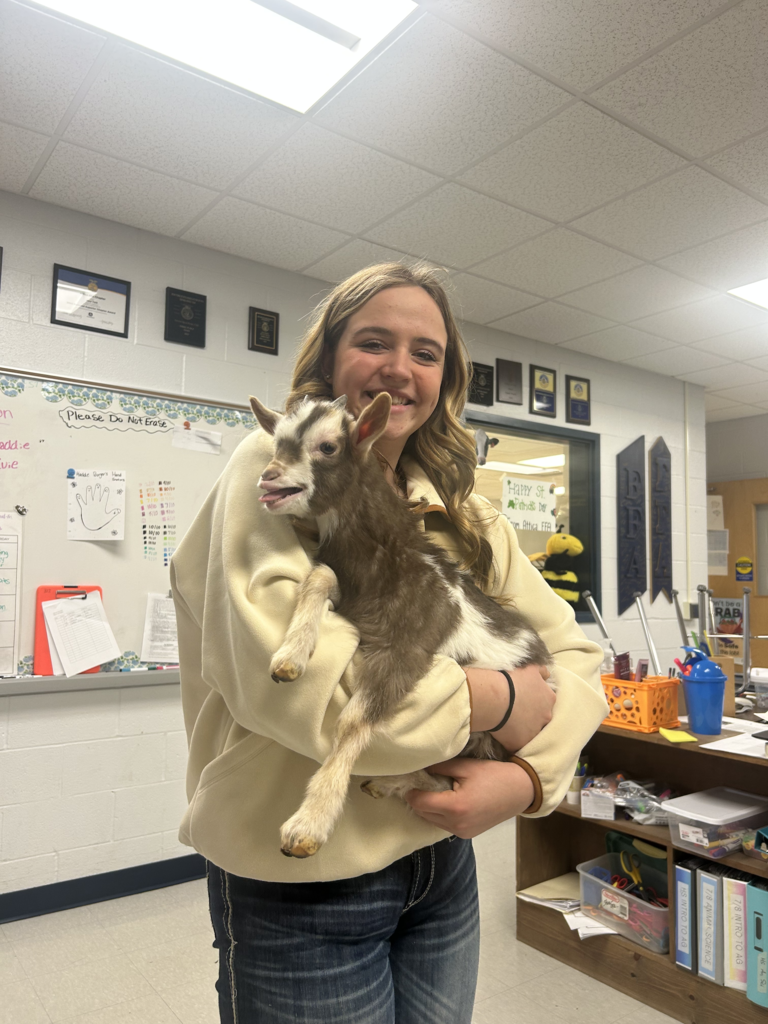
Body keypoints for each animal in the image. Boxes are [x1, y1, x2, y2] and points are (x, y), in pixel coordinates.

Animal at [249, 392, 551, 859]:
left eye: (328, 447)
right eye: (277, 440)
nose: (269, 478)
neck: (392, 556)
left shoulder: (407, 649)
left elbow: (354, 721)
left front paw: (308, 826)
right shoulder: (353, 593)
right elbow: (320, 576)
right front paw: (290, 657)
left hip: (485, 743)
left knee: (448, 779)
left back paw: (393, 781)